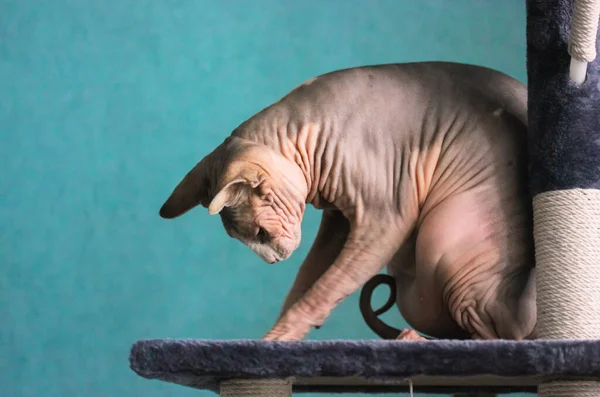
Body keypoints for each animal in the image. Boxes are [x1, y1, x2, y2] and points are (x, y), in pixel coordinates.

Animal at [157, 61, 536, 340]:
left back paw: (417, 340)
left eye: (260, 234)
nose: (273, 261)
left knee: (499, 334)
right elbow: (306, 279)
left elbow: (323, 290)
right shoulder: (338, 220)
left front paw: (276, 339)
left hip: (450, 244)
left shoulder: (384, 219)